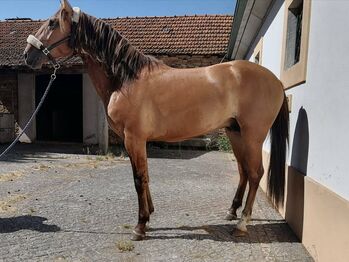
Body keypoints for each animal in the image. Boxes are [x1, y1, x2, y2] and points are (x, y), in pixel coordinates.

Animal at [23, 0, 286, 241]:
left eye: (52, 22)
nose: (27, 55)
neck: (126, 79)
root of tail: (275, 81)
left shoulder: (134, 138)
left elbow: (139, 179)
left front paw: (140, 226)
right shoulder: (139, 141)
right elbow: (146, 175)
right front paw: (149, 214)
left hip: (252, 136)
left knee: (255, 173)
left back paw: (242, 224)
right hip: (235, 133)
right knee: (243, 171)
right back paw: (232, 211)